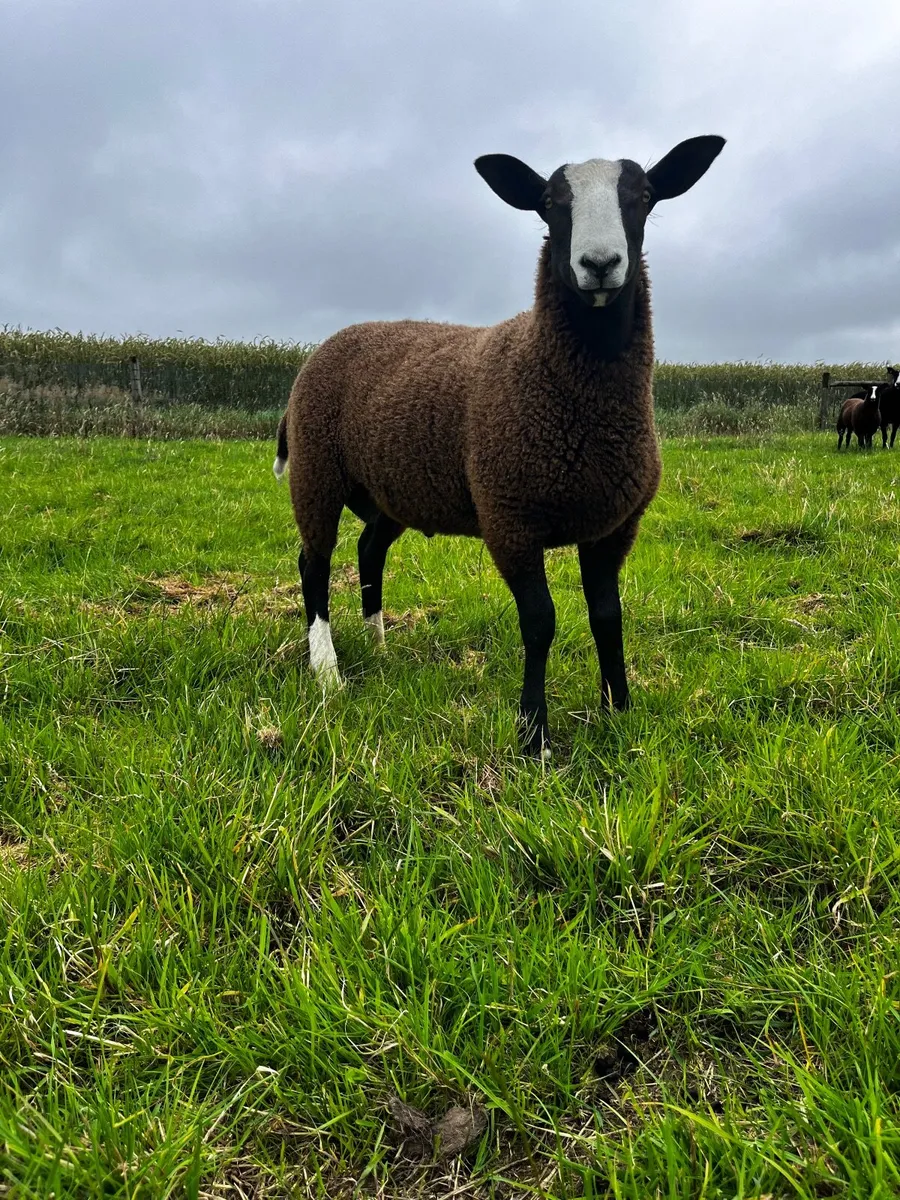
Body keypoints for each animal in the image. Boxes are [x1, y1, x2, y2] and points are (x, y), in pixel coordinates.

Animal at [274, 134, 726, 757]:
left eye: (645, 195)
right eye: (549, 203)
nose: (599, 265)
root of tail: (330, 342)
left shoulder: (615, 524)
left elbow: (607, 615)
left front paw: (618, 710)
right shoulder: (510, 518)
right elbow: (540, 623)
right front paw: (534, 735)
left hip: (392, 489)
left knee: (369, 550)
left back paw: (379, 643)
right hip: (316, 470)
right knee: (313, 562)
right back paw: (329, 673)